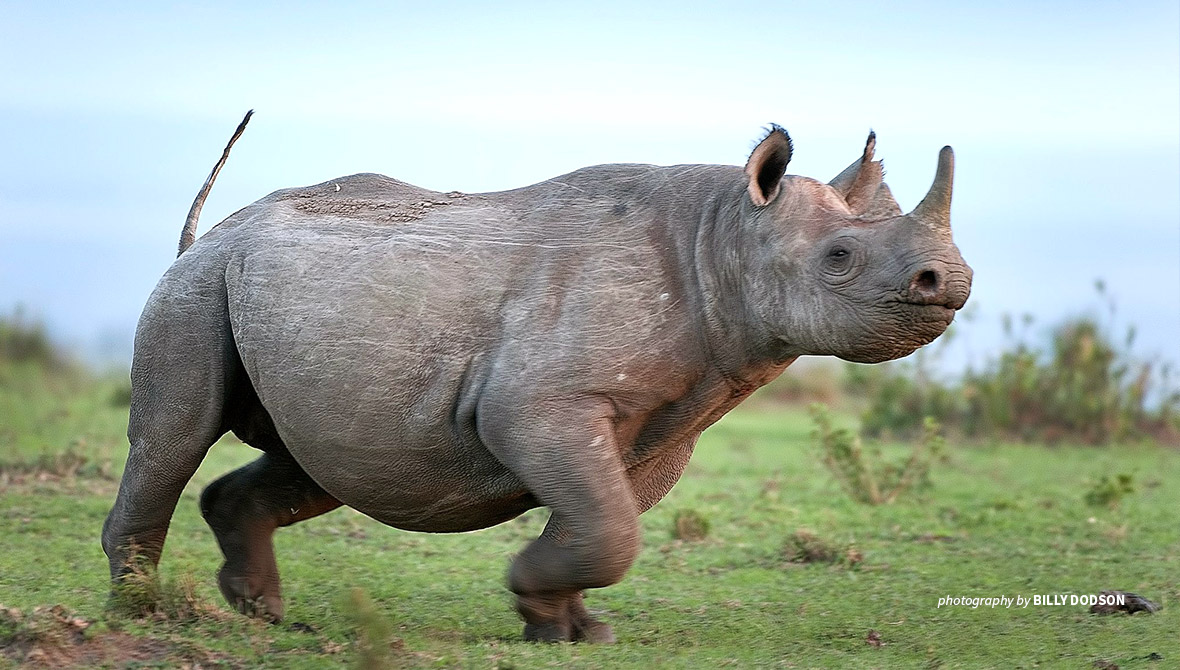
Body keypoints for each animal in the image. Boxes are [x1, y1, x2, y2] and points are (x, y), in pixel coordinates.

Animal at [102, 114, 971, 643]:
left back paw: (262, 614)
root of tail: (207, 237)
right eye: (839, 257)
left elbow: (603, 519)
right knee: (174, 438)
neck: (724, 235)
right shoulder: (538, 404)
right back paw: (143, 613)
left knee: (318, 464)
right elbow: (608, 527)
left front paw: (568, 628)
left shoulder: (661, 424)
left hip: (278, 300)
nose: (951, 281)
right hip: (196, 289)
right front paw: (528, 591)